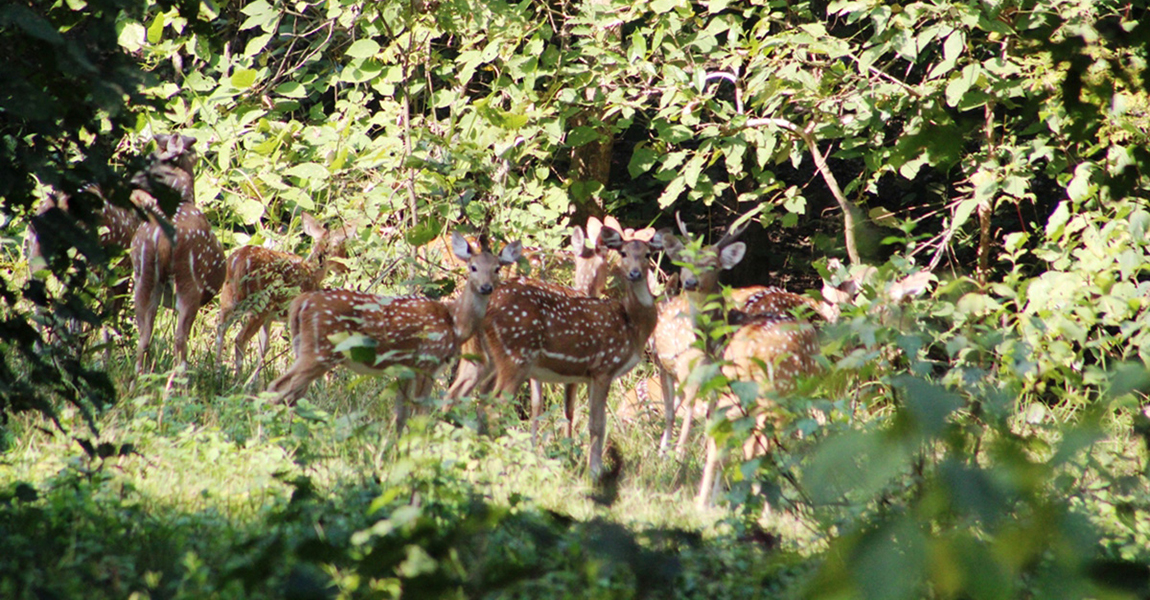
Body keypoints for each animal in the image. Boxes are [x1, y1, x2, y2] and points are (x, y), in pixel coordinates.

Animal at [216, 212, 354, 377]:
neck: (312, 272)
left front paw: (258, 381)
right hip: (260, 305)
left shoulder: (270, 317)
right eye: (342, 248)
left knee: (220, 330)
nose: (347, 268)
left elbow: (264, 348)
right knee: (240, 339)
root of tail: (240, 261)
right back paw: (238, 378)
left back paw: (215, 370)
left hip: (228, 298)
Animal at [264, 231, 522, 427]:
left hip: (303, 347)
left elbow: (401, 414)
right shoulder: (427, 361)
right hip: (320, 351)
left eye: (497, 268)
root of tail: (301, 303)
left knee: (291, 393)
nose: (486, 287)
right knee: (278, 387)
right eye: (473, 267)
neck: (455, 321)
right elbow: (420, 411)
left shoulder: (406, 369)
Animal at [478, 225, 667, 475]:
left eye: (647, 254)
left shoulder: (589, 374)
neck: (631, 324)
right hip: (516, 356)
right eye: (623, 253)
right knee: (495, 406)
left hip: (493, 359)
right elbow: (595, 423)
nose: (635, 273)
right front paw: (594, 470)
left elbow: (592, 420)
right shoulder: (604, 366)